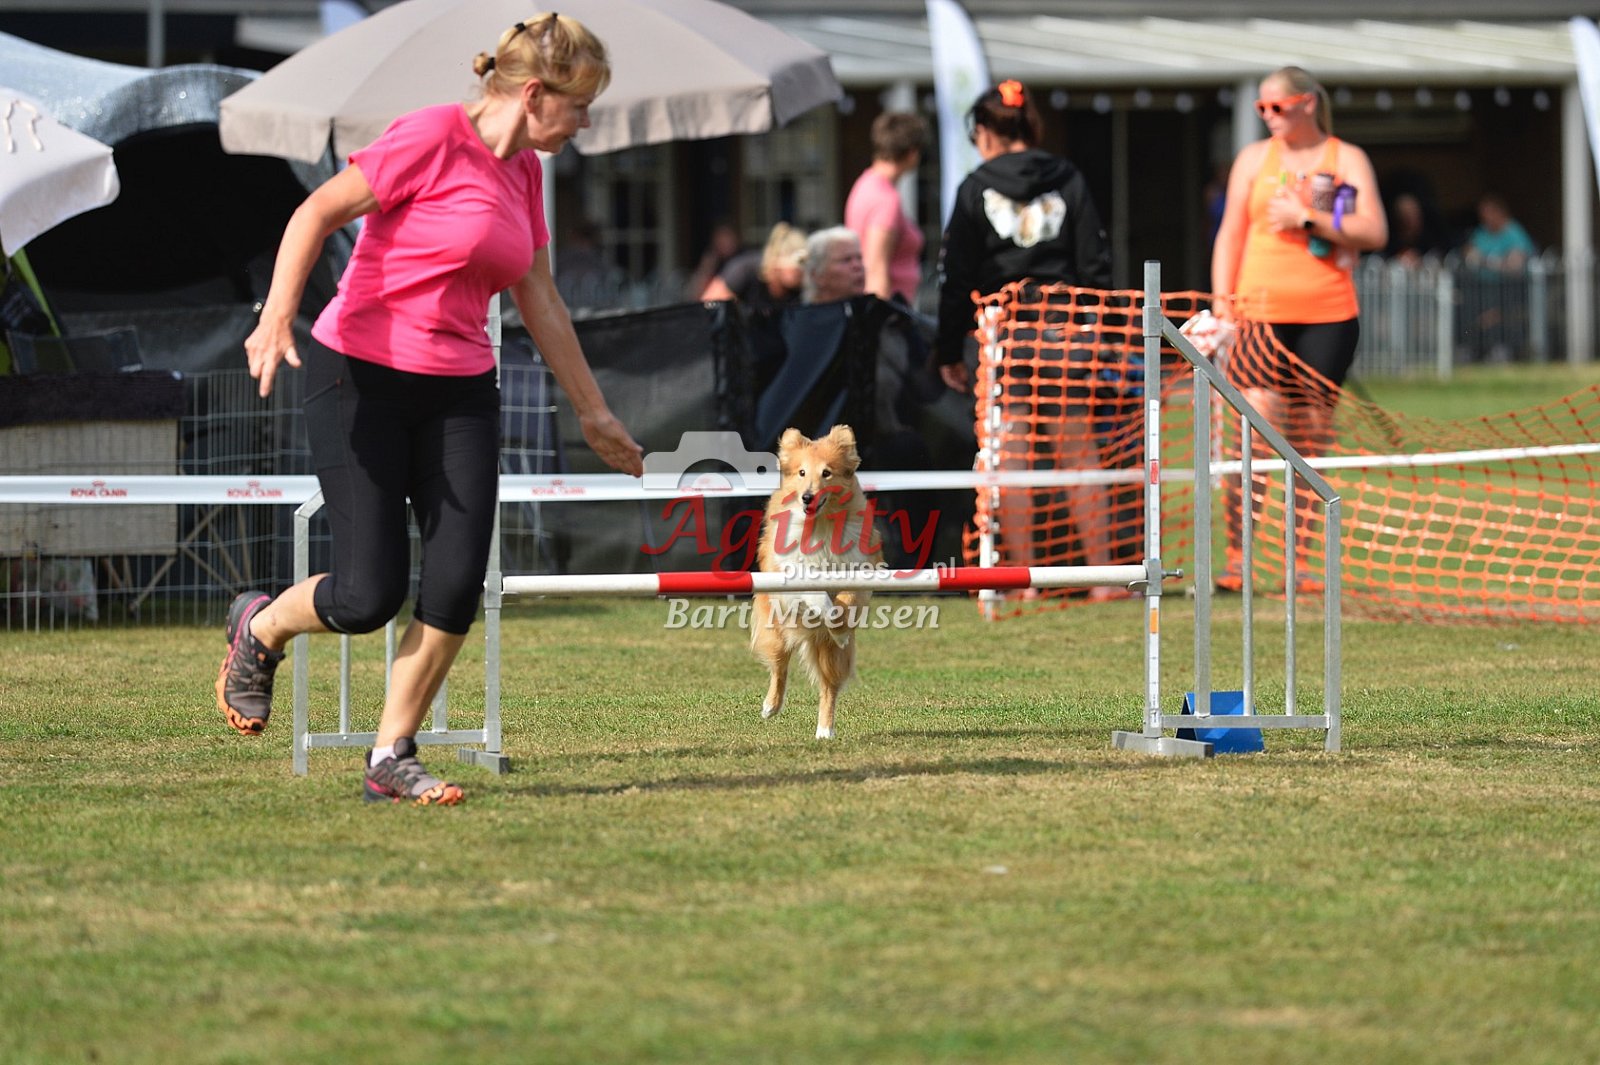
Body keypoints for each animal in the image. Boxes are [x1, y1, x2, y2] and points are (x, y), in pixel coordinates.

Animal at [750, 425, 884, 740]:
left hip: (832, 657)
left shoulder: (860, 566)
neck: (821, 523)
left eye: (827, 473)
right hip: (777, 627)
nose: (807, 497)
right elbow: (816, 593)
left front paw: (840, 628)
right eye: (801, 473)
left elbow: (848, 601)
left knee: (828, 686)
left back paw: (825, 729)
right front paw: (828, 611)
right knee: (780, 666)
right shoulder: (792, 568)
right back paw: (770, 706)